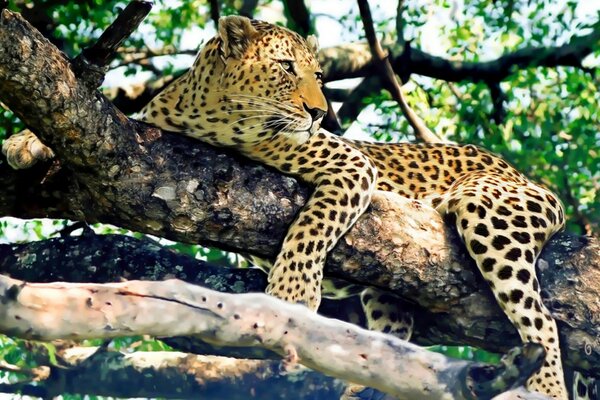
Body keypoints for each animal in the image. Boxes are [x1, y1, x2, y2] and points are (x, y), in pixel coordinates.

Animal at [2, 15, 580, 400]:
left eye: (320, 77)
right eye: (284, 67)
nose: (320, 112)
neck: (212, 113)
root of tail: (529, 178)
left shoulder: (350, 165)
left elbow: (312, 226)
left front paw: (291, 294)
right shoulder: (146, 124)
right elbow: (85, 115)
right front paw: (21, 142)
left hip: (489, 212)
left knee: (541, 321)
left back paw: (547, 385)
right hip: (389, 298)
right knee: (393, 338)